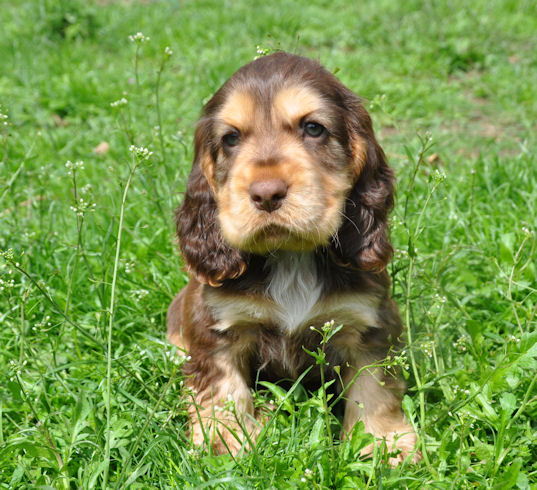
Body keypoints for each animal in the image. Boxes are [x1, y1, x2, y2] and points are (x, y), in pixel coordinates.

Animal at [168, 52, 418, 464]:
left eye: (313, 128)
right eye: (231, 138)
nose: (266, 193)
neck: (290, 256)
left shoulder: (368, 322)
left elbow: (374, 389)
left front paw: (382, 443)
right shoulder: (216, 327)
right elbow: (223, 389)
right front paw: (228, 443)